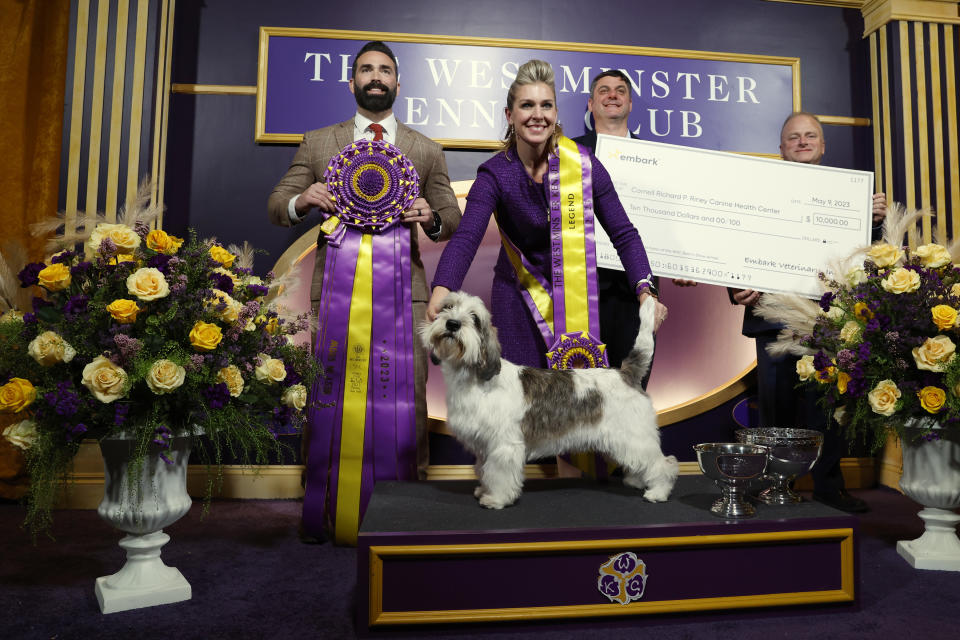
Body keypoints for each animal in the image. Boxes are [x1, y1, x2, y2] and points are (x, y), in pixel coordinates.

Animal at [422, 292, 684, 510]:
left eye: (475, 318)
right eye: (447, 307)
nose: (452, 324)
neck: (474, 377)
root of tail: (626, 373)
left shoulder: (504, 445)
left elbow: (498, 473)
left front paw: (495, 499)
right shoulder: (484, 446)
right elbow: (485, 470)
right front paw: (483, 490)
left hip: (634, 436)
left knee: (665, 463)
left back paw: (658, 492)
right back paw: (638, 481)